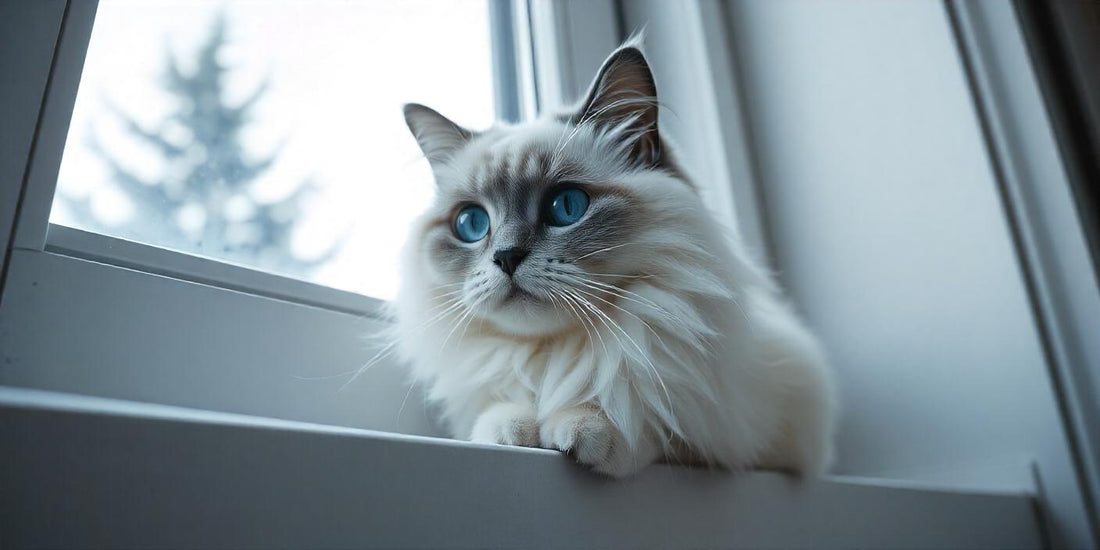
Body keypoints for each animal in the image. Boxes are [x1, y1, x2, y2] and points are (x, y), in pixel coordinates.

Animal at [393, 37, 831, 477]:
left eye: (566, 206)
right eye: (472, 223)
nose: (506, 257)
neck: (557, 357)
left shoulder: (760, 436)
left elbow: (657, 426)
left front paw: (585, 427)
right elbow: (497, 410)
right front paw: (510, 431)